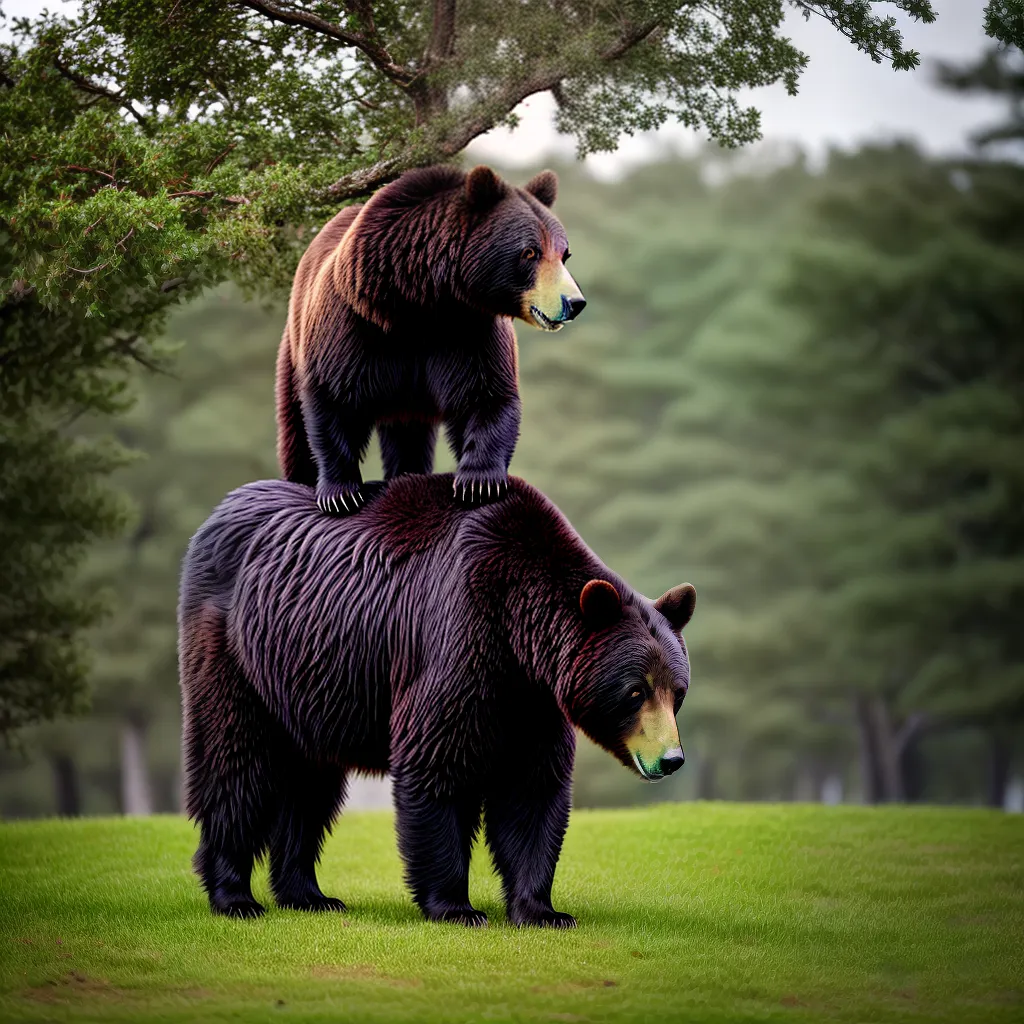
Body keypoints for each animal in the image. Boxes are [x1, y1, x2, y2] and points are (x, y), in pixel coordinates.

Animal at [179, 474, 695, 927]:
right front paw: (456, 907)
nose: (672, 759)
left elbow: (532, 790)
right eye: (635, 690)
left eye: (677, 692)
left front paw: (543, 910)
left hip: (307, 687)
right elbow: (437, 764)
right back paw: (235, 896)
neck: (515, 632)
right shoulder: (458, 641)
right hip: (236, 652)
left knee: (311, 785)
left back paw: (309, 895)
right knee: (235, 761)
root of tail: (218, 513)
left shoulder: (531, 703)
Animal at [275, 164, 586, 516]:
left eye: (564, 254)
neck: (420, 305)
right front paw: (341, 493)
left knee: (409, 435)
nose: (574, 302)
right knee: (294, 418)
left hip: (409, 401)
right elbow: (332, 396)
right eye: (530, 251)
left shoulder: (468, 336)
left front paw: (478, 483)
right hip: (294, 343)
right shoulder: (353, 326)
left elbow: (487, 396)